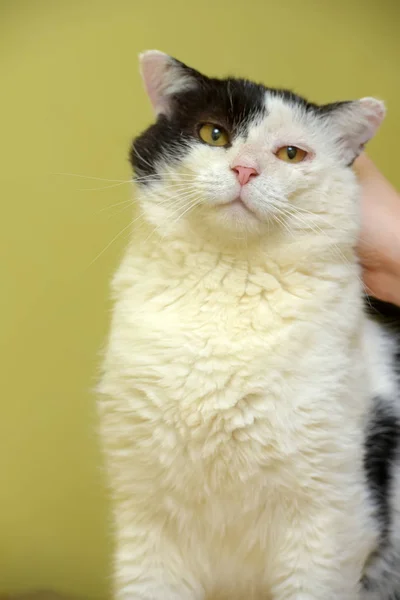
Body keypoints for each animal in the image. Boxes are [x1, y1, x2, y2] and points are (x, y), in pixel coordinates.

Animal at [97, 51, 400, 600]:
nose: (245, 168)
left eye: (291, 153)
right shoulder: (145, 520)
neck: (227, 290)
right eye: (214, 134)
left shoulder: (327, 525)